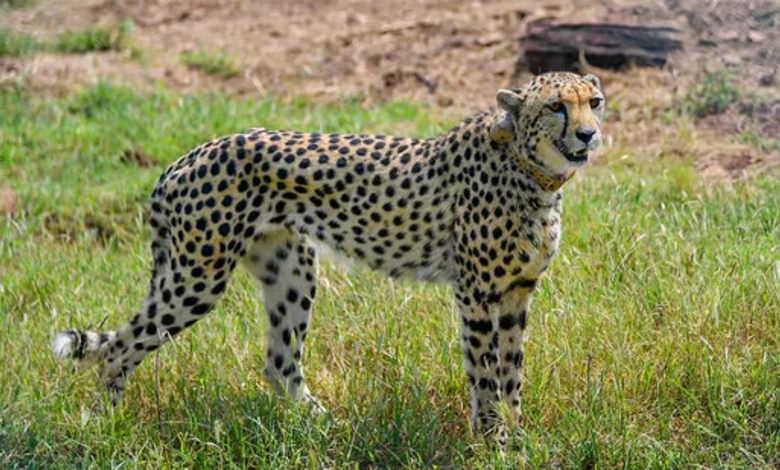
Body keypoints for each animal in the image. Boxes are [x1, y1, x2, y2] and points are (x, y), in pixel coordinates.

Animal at [52, 71, 605, 443]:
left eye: (594, 102)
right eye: (556, 106)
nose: (588, 134)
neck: (531, 171)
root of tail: (186, 157)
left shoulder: (516, 293)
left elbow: (513, 372)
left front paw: (518, 436)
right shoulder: (475, 293)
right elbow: (485, 373)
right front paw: (493, 441)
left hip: (291, 269)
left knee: (279, 363)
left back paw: (325, 427)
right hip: (197, 278)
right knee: (121, 347)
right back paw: (107, 425)